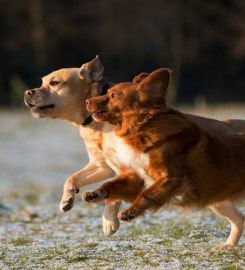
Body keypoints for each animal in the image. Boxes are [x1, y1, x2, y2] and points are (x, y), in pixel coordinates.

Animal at [83, 68, 245, 248]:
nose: (87, 101)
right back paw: (228, 246)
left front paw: (130, 212)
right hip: (218, 201)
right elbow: (112, 184)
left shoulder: (171, 178)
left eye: (113, 95)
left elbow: (148, 194)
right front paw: (95, 193)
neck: (141, 129)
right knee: (240, 219)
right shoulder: (137, 177)